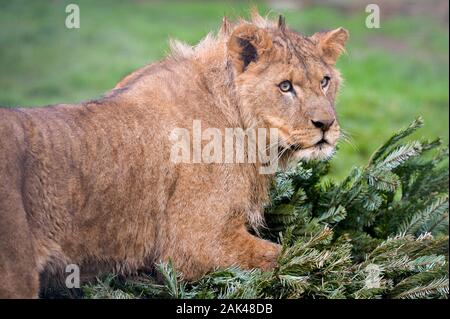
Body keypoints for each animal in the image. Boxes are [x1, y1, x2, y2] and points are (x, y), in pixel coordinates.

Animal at [0, 11, 348, 298]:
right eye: (285, 86)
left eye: (325, 81)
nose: (326, 124)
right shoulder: (196, 244)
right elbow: (291, 254)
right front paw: (330, 258)